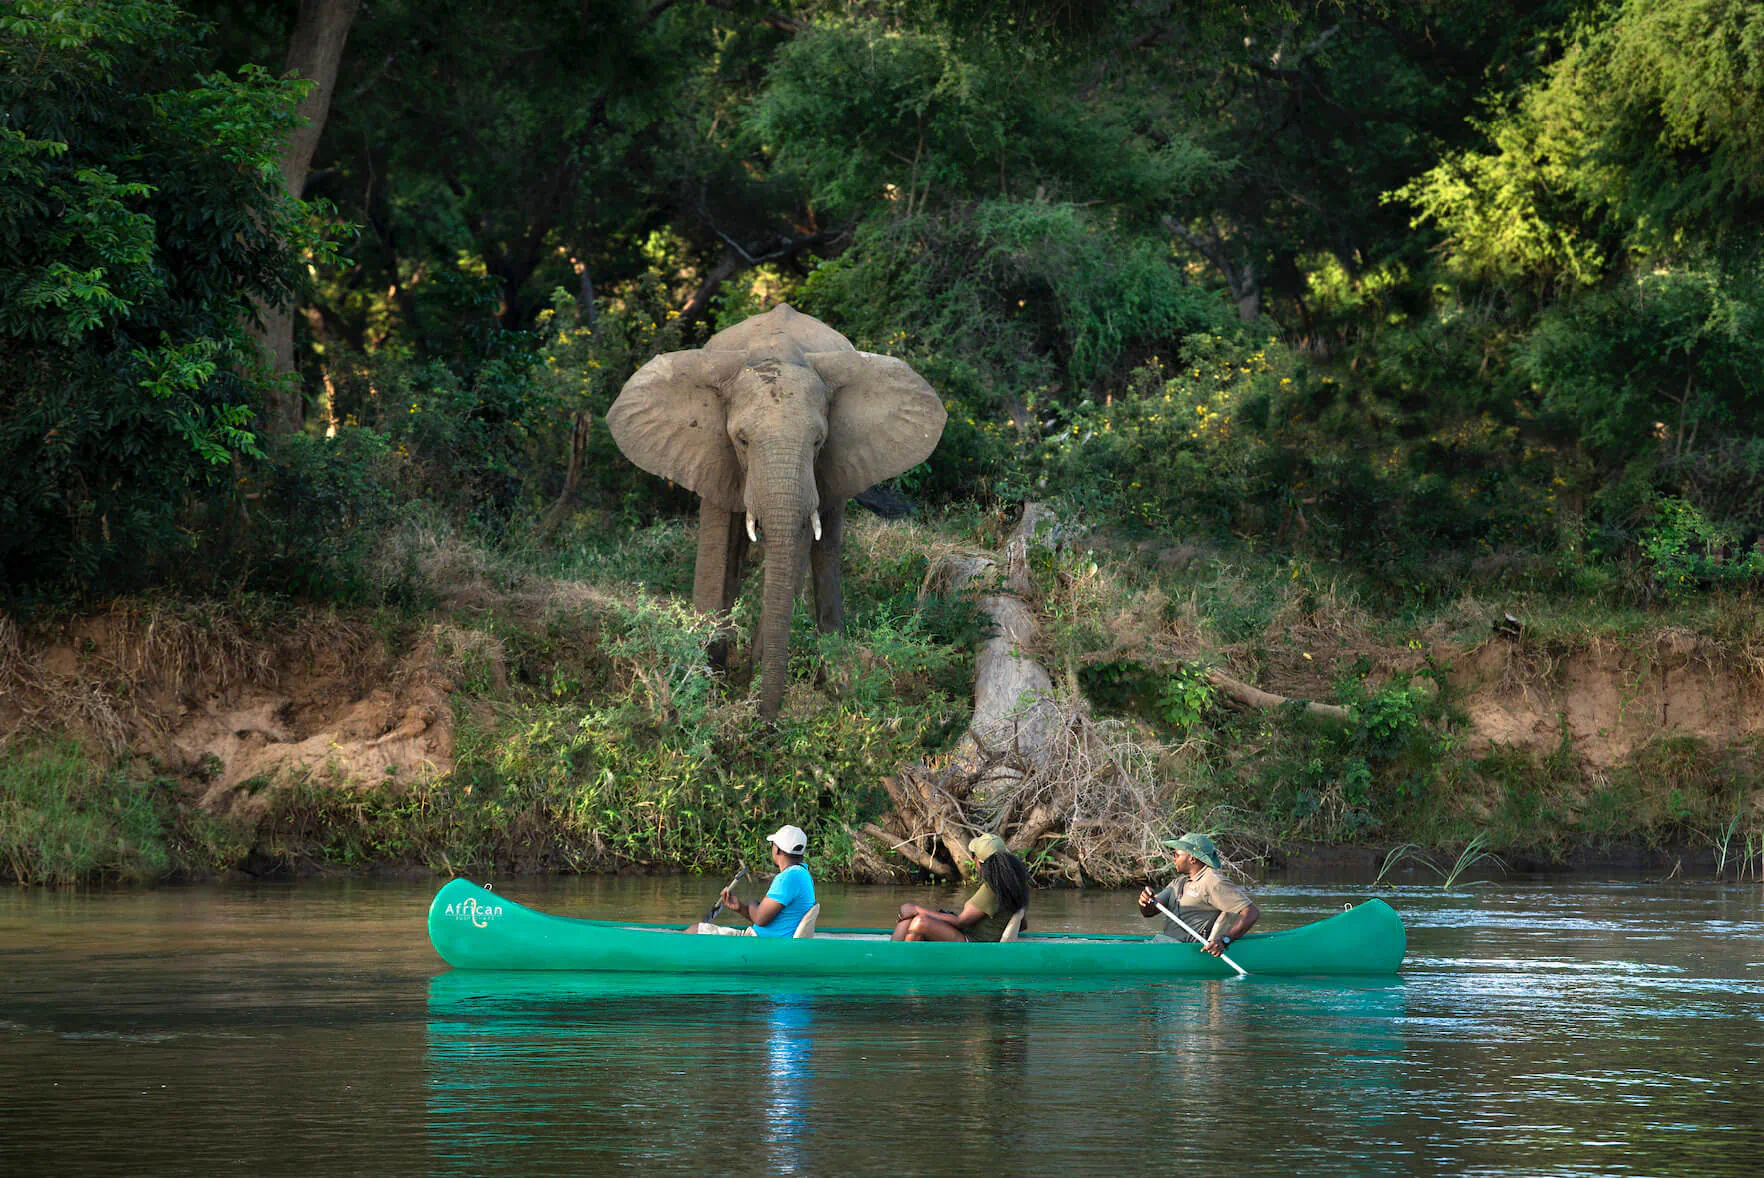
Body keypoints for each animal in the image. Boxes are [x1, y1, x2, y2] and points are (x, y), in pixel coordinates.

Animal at [607, 304, 945, 719]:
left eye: (818, 441)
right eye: (741, 440)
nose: (764, 720)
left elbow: (798, 545)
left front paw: (750, 688)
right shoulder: (710, 450)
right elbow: (717, 550)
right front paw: (705, 687)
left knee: (826, 545)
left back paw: (836, 681)